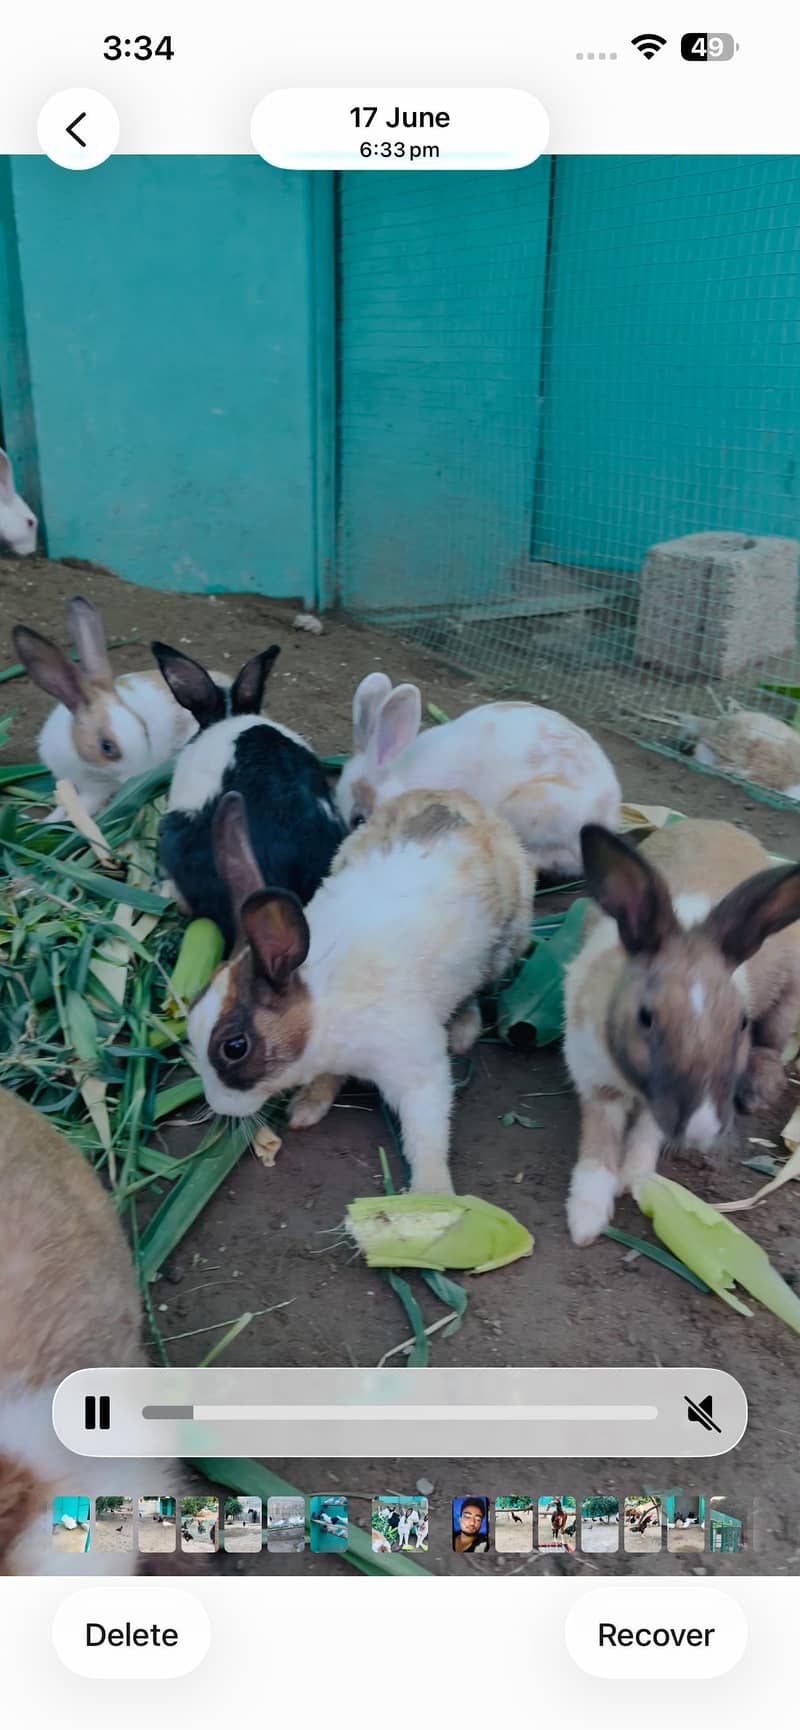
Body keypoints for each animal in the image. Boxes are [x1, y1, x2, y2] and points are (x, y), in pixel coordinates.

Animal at [187, 785, 535, 1192]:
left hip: (504, 946)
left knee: (474, 991)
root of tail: (462, 800)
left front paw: (432, 1191)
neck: (322, 1011)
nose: (218, 1105)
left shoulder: (416, 1068)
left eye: (234, 1047)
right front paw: (306, 1109)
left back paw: (463, 1032)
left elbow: (426, 1134)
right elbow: (327, 1080)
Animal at [564, 818, 800, 1246]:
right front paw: (585, 1220)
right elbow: (598, 1146)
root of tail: (720, 824)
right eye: (645, 1017)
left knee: (772, 1046)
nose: (700, 1129)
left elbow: (645, 1135)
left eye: (741, 1022)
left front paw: (636, 1182)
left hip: (787, 995)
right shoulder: (595, 1084)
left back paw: (756, 1090)